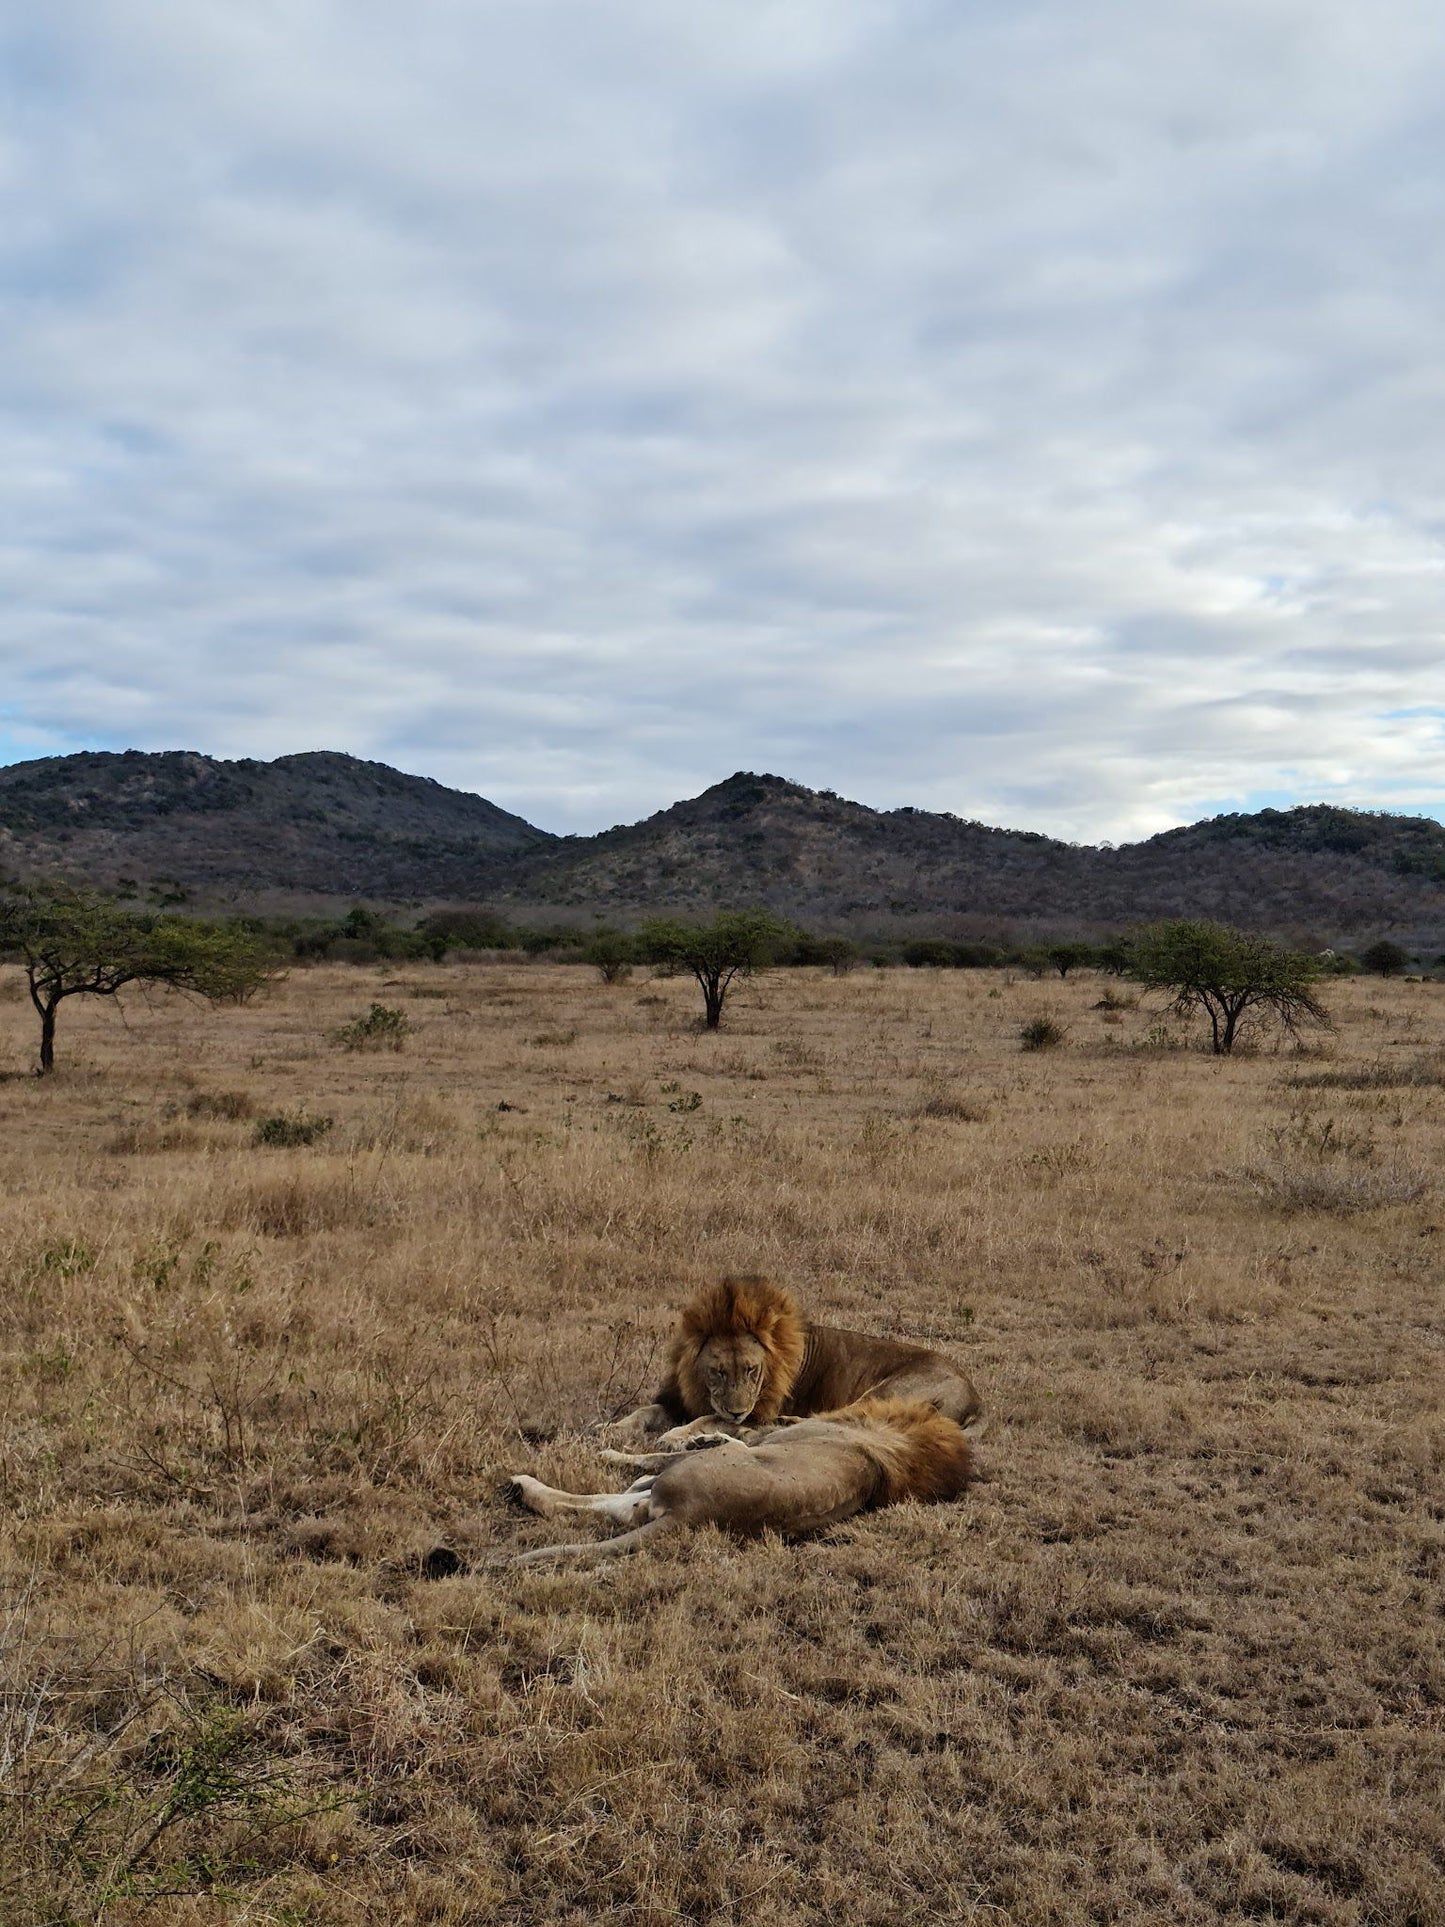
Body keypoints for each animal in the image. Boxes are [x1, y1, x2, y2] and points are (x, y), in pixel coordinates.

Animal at [504, 1402, 974, 1564]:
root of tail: (690, 1514)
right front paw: (706, 1434)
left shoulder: (766, 1442)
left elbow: (657, 1453)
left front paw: (612, 1454)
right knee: (621, 1505)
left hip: (682, 1482)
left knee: (620, 1496)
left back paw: (522, 1484)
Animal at [612, 1264, 986, 1449]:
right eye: (718, 1372)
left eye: (751, 1370)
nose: (737, 1412)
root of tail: (975, 1395)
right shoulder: (681, 1398)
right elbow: (646, 1410)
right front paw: (612, 1428)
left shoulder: (755, 1409)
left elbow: (706, 1419)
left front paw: (674, 1436)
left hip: (888, 1391)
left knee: (846, 1418)